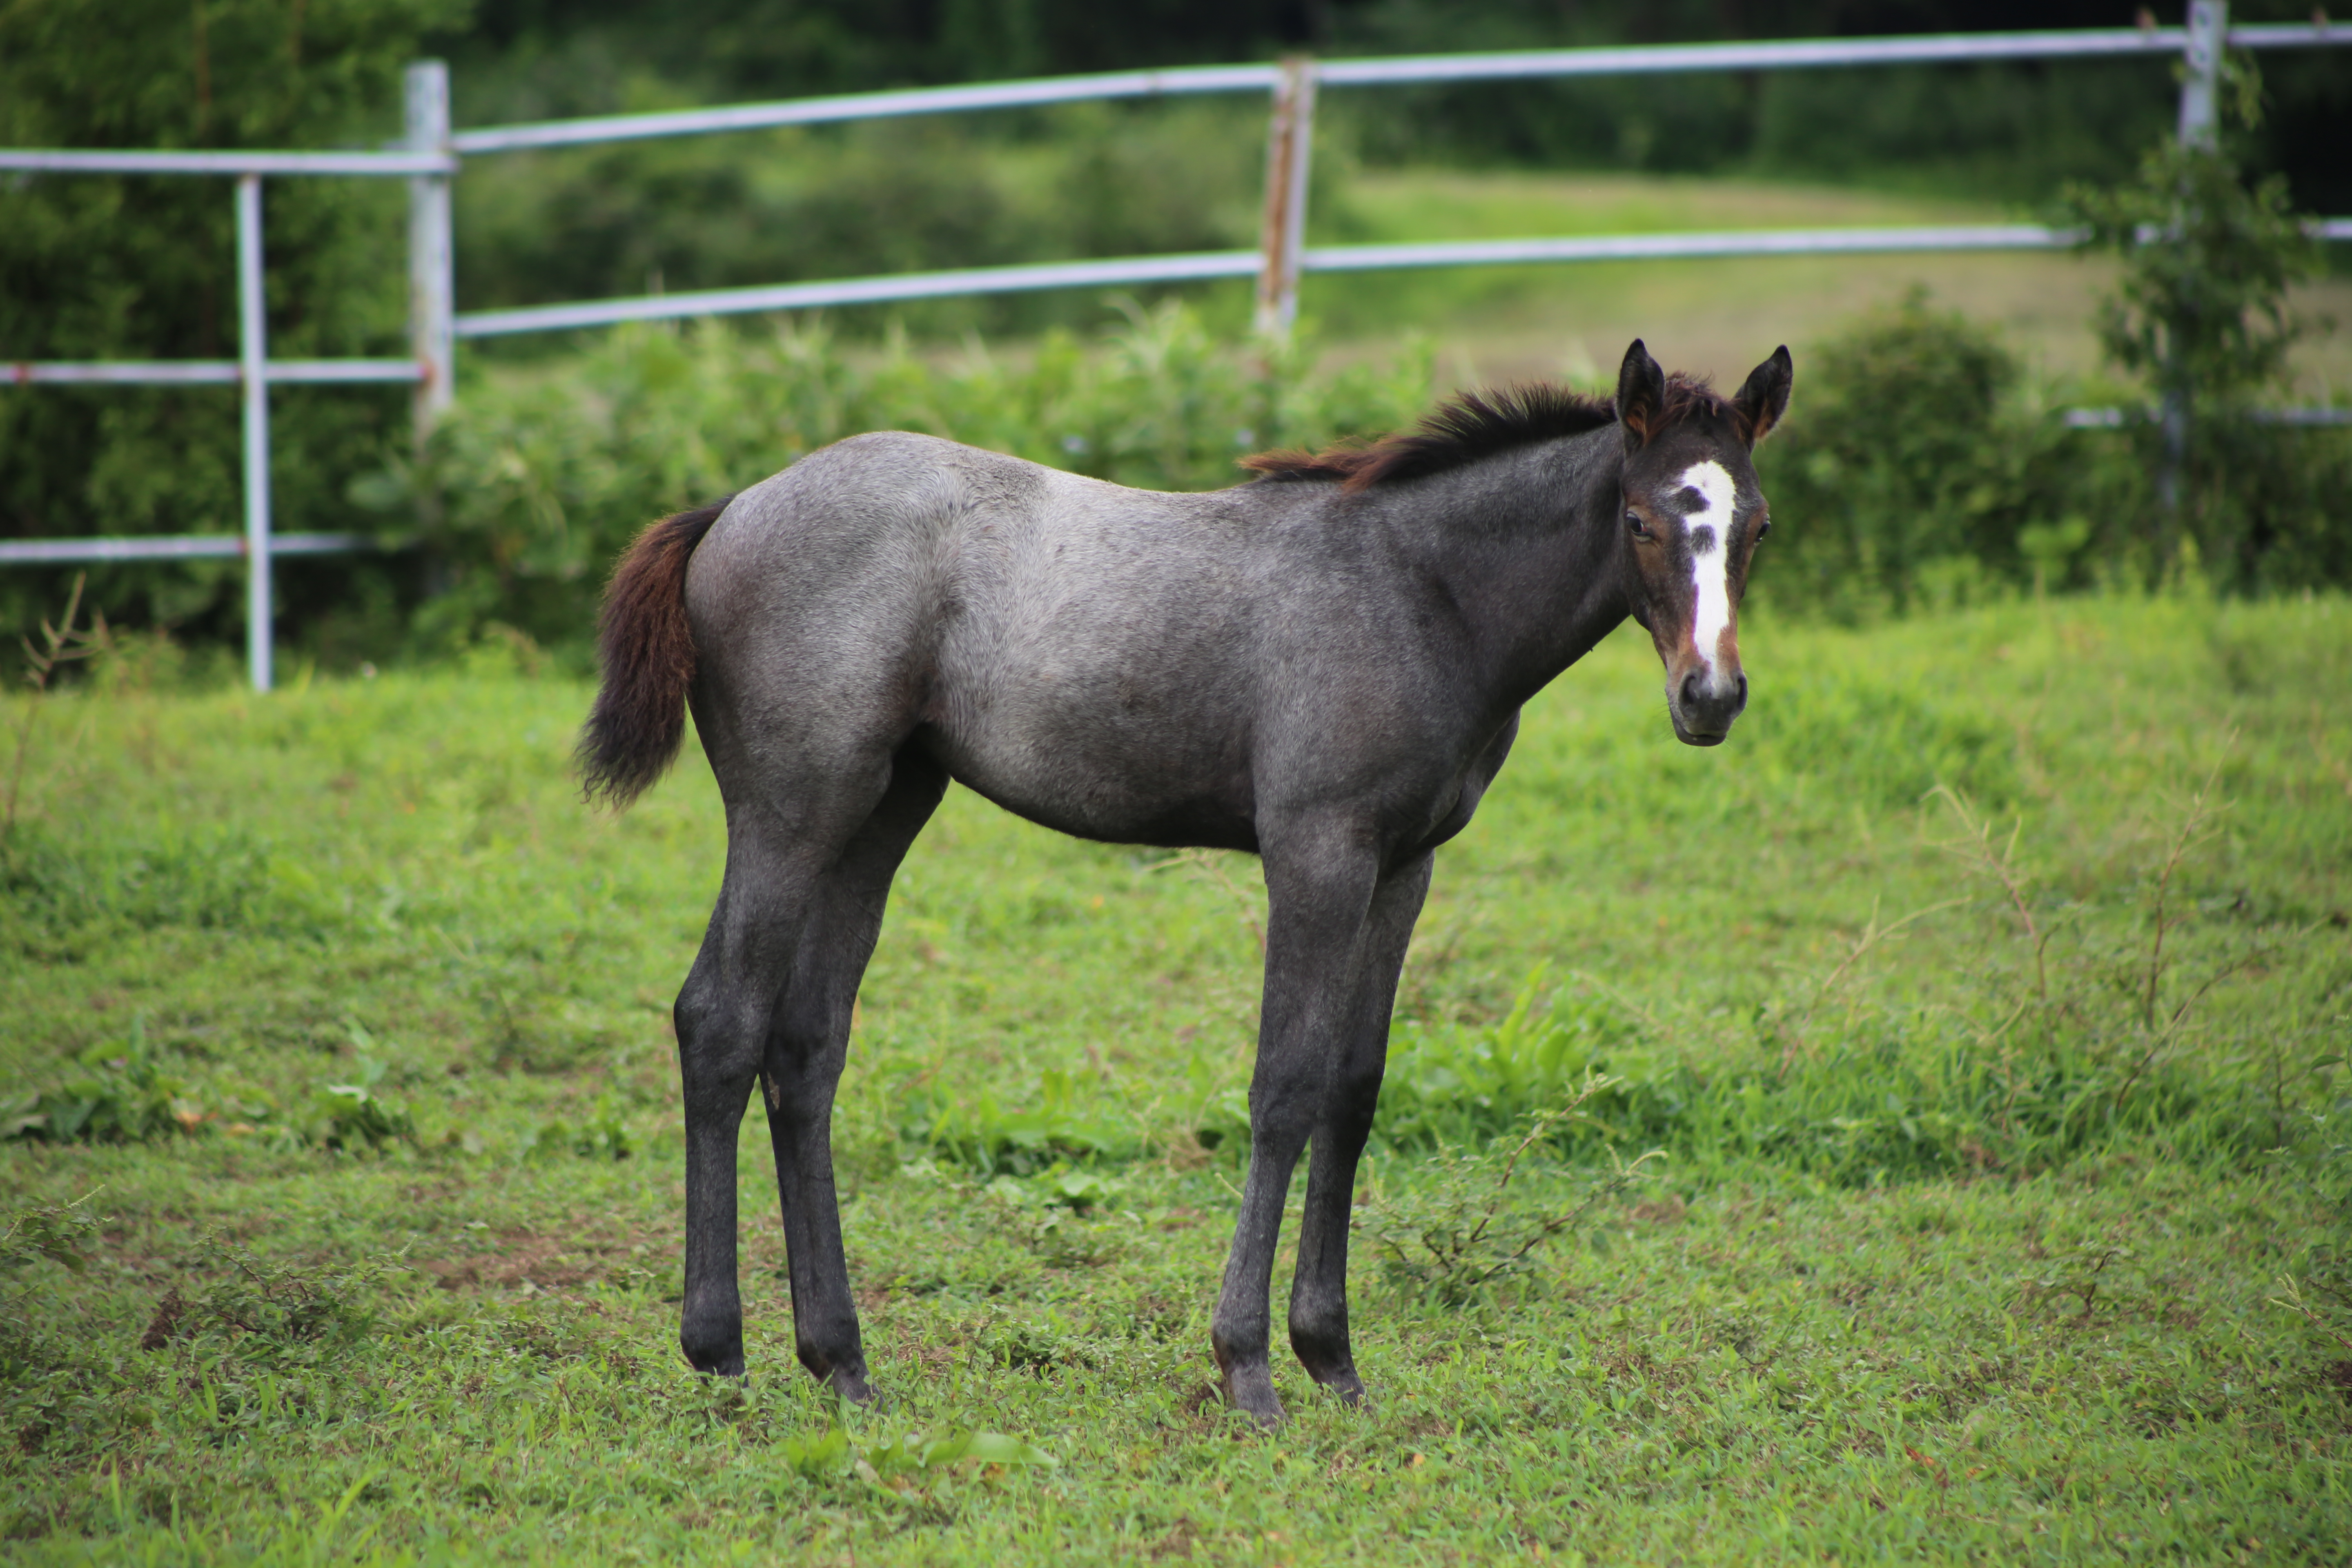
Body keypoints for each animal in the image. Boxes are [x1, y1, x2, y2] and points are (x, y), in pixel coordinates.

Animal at [578, 339, 1787, 1429]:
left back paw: (841, 1363)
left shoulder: (1404, 865)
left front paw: (1333, 1359)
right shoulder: (1316, 852)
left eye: (1757, 527)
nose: (1710, 697)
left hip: (881, 812)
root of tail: (730, 509)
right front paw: (1247, 1368)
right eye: (1640, 520)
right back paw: (721, 1355)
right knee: (720, 1019)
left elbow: (1353, 1090)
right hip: (791, 811)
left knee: (806, 1048)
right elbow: (1284, 1086)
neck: (1420, 592)